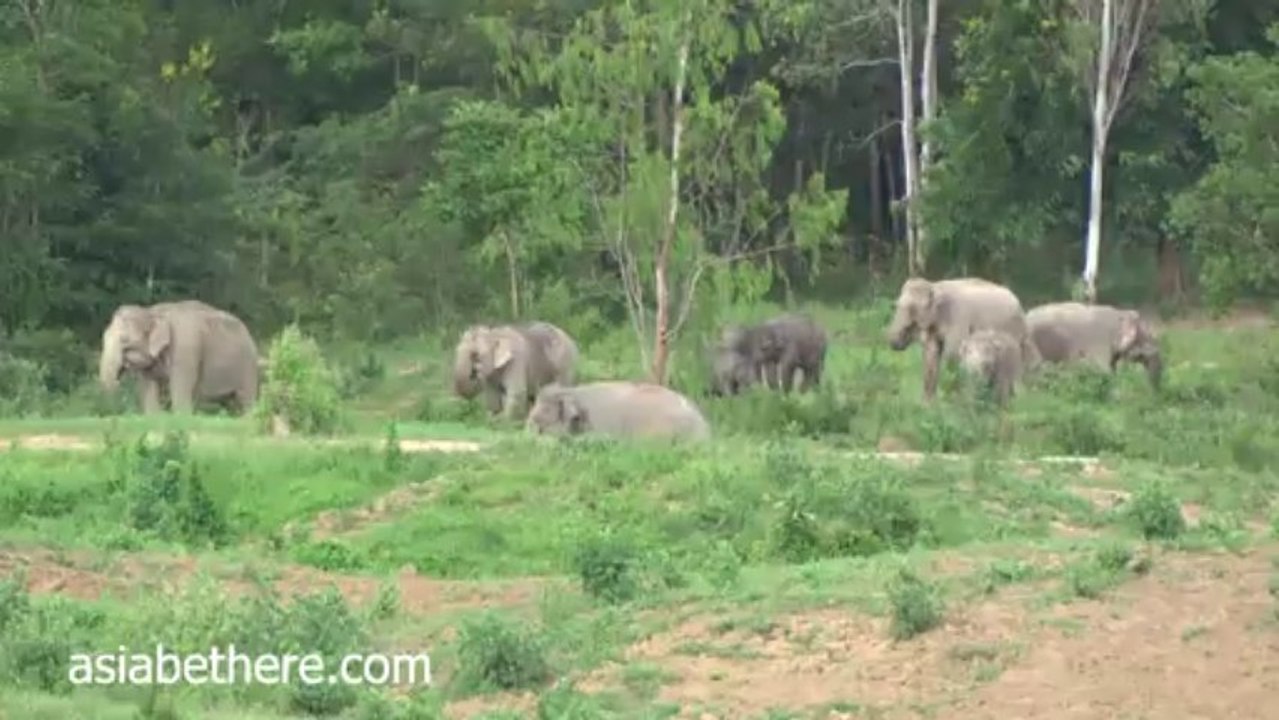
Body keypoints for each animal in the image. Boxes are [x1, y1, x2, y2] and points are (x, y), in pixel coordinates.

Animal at [98, 300, 260, 414]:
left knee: (246, 398)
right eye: (104, 337)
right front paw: (154, 417)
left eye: (124, 340)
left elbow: (180, 384)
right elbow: (149, 385)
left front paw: (181, 418)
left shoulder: (185, 348)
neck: (152, 312)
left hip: (248, 365)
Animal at [886, 277, 1038, 401]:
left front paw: (952, 400)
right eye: (895, 305)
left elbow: (952, 355)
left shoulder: (958, 319)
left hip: (1014, 332)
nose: (894, 343)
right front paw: (927, 403)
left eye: (912, 308)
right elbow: (931, 355)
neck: (935, 285)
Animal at [1025, 302, 1163, 389]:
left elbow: (1112, 368)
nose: (1153, 393)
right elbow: (1103, 370)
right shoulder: (1099, 342)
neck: (1119, 314)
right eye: (1147, 337)